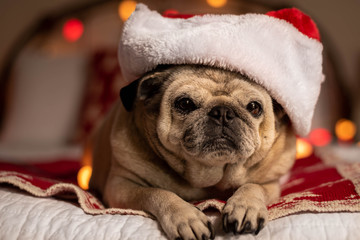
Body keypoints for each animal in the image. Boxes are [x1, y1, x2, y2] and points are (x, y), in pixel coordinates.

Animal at [88, 64, 296, 240]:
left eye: (254, 107)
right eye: (185, 103)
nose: (222, 112)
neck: (210, 174)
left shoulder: (270, 183)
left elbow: (253, 186)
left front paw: (245, 206)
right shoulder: (121, 185)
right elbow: (155, 193)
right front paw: (186, 217)